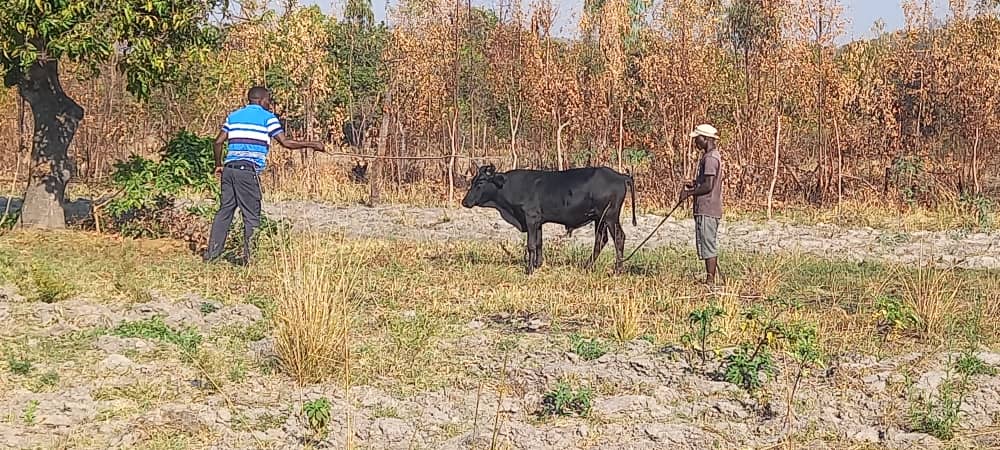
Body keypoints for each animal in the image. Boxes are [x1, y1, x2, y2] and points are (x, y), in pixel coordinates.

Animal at [461, 164, 637, 274]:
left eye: (481, 182)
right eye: (472, 181)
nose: (464, 202)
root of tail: (621, 175)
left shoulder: (531, 218)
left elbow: (531, 245)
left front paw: (529, 270)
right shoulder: (538, 221)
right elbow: (539, 243)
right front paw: (538, 265)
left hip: (610, 216)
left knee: (619, 237)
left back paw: (617, 270)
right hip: (599, 219)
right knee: (600, 240)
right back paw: (587, 266)